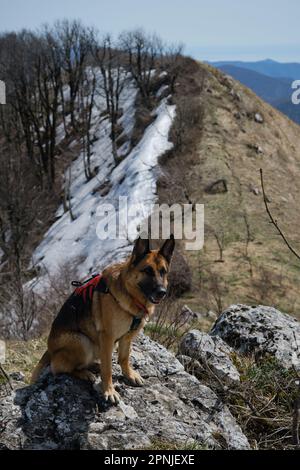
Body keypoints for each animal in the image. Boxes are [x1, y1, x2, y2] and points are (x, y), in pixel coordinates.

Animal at [30, 237, 175, 402]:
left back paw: (92, 366)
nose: (162, 292)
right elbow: (108, 369)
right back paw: (85, 373)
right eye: (147, 270)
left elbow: (124, 357)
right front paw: (109, 391)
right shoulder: (107, 337)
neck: (130, 293)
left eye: (163, 271)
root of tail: (49, 350)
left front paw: (129, 374)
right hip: (82, 341)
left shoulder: (127, 337)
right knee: (59, 367)